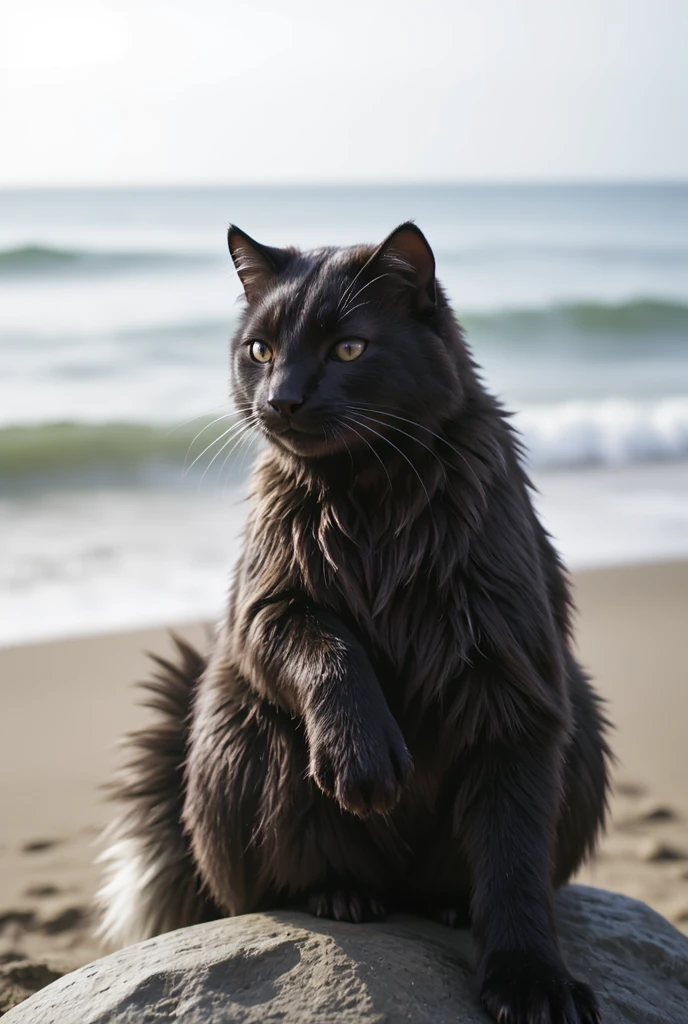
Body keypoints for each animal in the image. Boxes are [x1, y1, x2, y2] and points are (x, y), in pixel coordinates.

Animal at [99, 220, 610, 1019]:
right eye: (260, 350)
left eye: (348, 349)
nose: (282, 399)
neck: (370, 496)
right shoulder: (264, 609)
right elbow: (327, 646)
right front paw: (361, 753)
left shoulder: (511, 691)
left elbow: (514, 864)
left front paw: (532, 979)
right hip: (239, 726)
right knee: (277, 883)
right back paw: (339, 895)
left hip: (579, 715)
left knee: (456, 879)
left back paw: (449, 904)